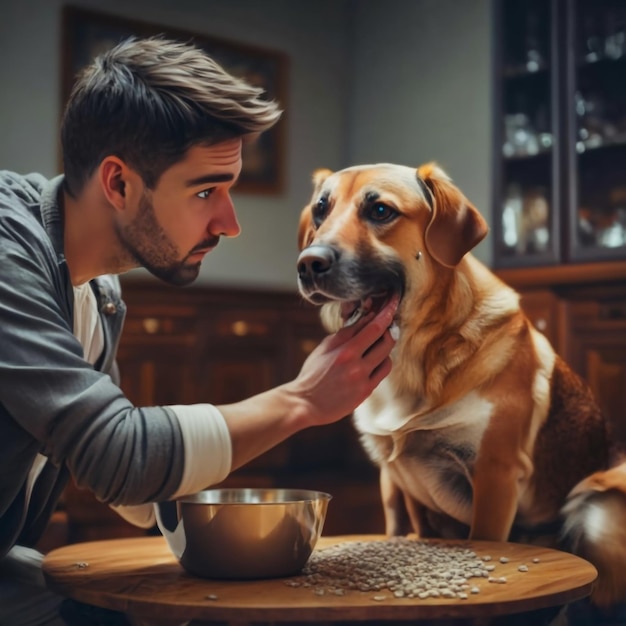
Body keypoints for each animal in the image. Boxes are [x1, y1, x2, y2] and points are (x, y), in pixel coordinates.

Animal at [294, 161, 624, 604]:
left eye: (380, 211)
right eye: (320, 210)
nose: (308, 264)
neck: (413, 361)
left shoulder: (495, 475)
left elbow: (483, 538)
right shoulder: (394, 482)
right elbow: (401, 529)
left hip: (596, 508)